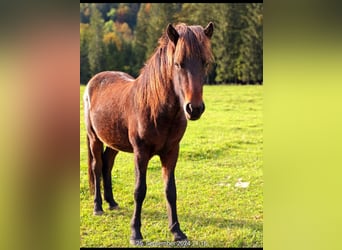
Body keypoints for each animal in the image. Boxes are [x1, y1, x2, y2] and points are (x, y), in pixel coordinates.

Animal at [83, 21, 214, 244]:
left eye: (205, 63)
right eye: (178, 64)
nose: (194, 108)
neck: (156, 109)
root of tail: (94, 81)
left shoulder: (171, 152)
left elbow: (170, 190)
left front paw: (177, 231)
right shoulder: (140, 153)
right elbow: (139, 190)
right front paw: (135, 233)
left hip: (113, 142)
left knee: (107, 165)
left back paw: (112, 202)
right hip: (94, 139)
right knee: (96, 167)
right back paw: (98, 207)